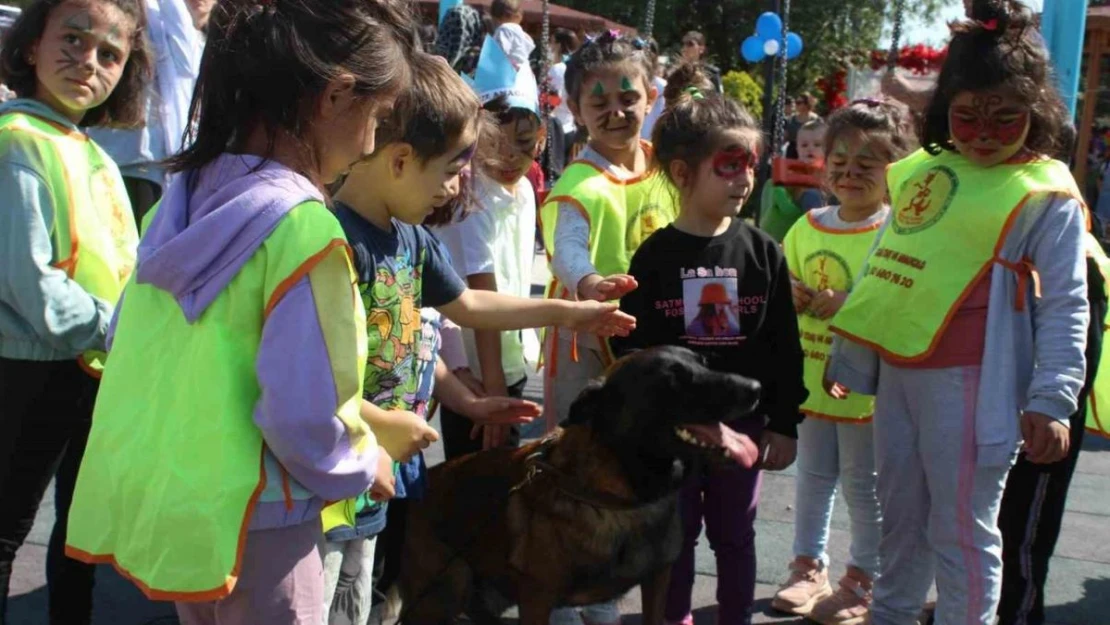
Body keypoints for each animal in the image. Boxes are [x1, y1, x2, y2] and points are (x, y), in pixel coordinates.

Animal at [397, 346, 763, 625]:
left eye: (705, 363)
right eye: (672, 379)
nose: (756, 387)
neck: (621, 497)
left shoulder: (658, 581)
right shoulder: (537, 599)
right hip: (445, 591)